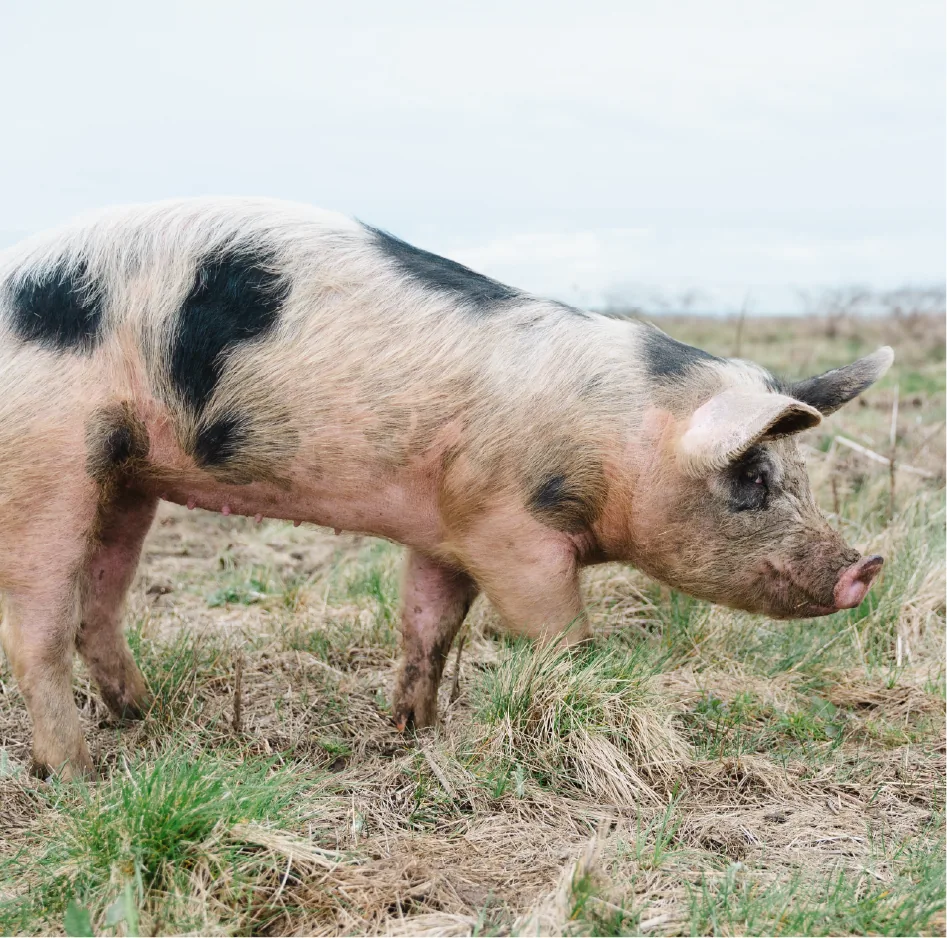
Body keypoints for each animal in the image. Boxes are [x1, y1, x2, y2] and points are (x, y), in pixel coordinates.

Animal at [0, 198, 892, 778]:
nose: (863, 566)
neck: (619, 433)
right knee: (38, 629)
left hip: (128, 477)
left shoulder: (446, 526)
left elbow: (426, 628)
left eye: (796, 474)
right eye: (749, 477)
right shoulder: (512, 532)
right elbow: (560, 635)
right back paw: (78, 776)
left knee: (98, 606)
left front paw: (411, 734)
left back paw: (147, 717)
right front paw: (569, 694)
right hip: (46, 460)